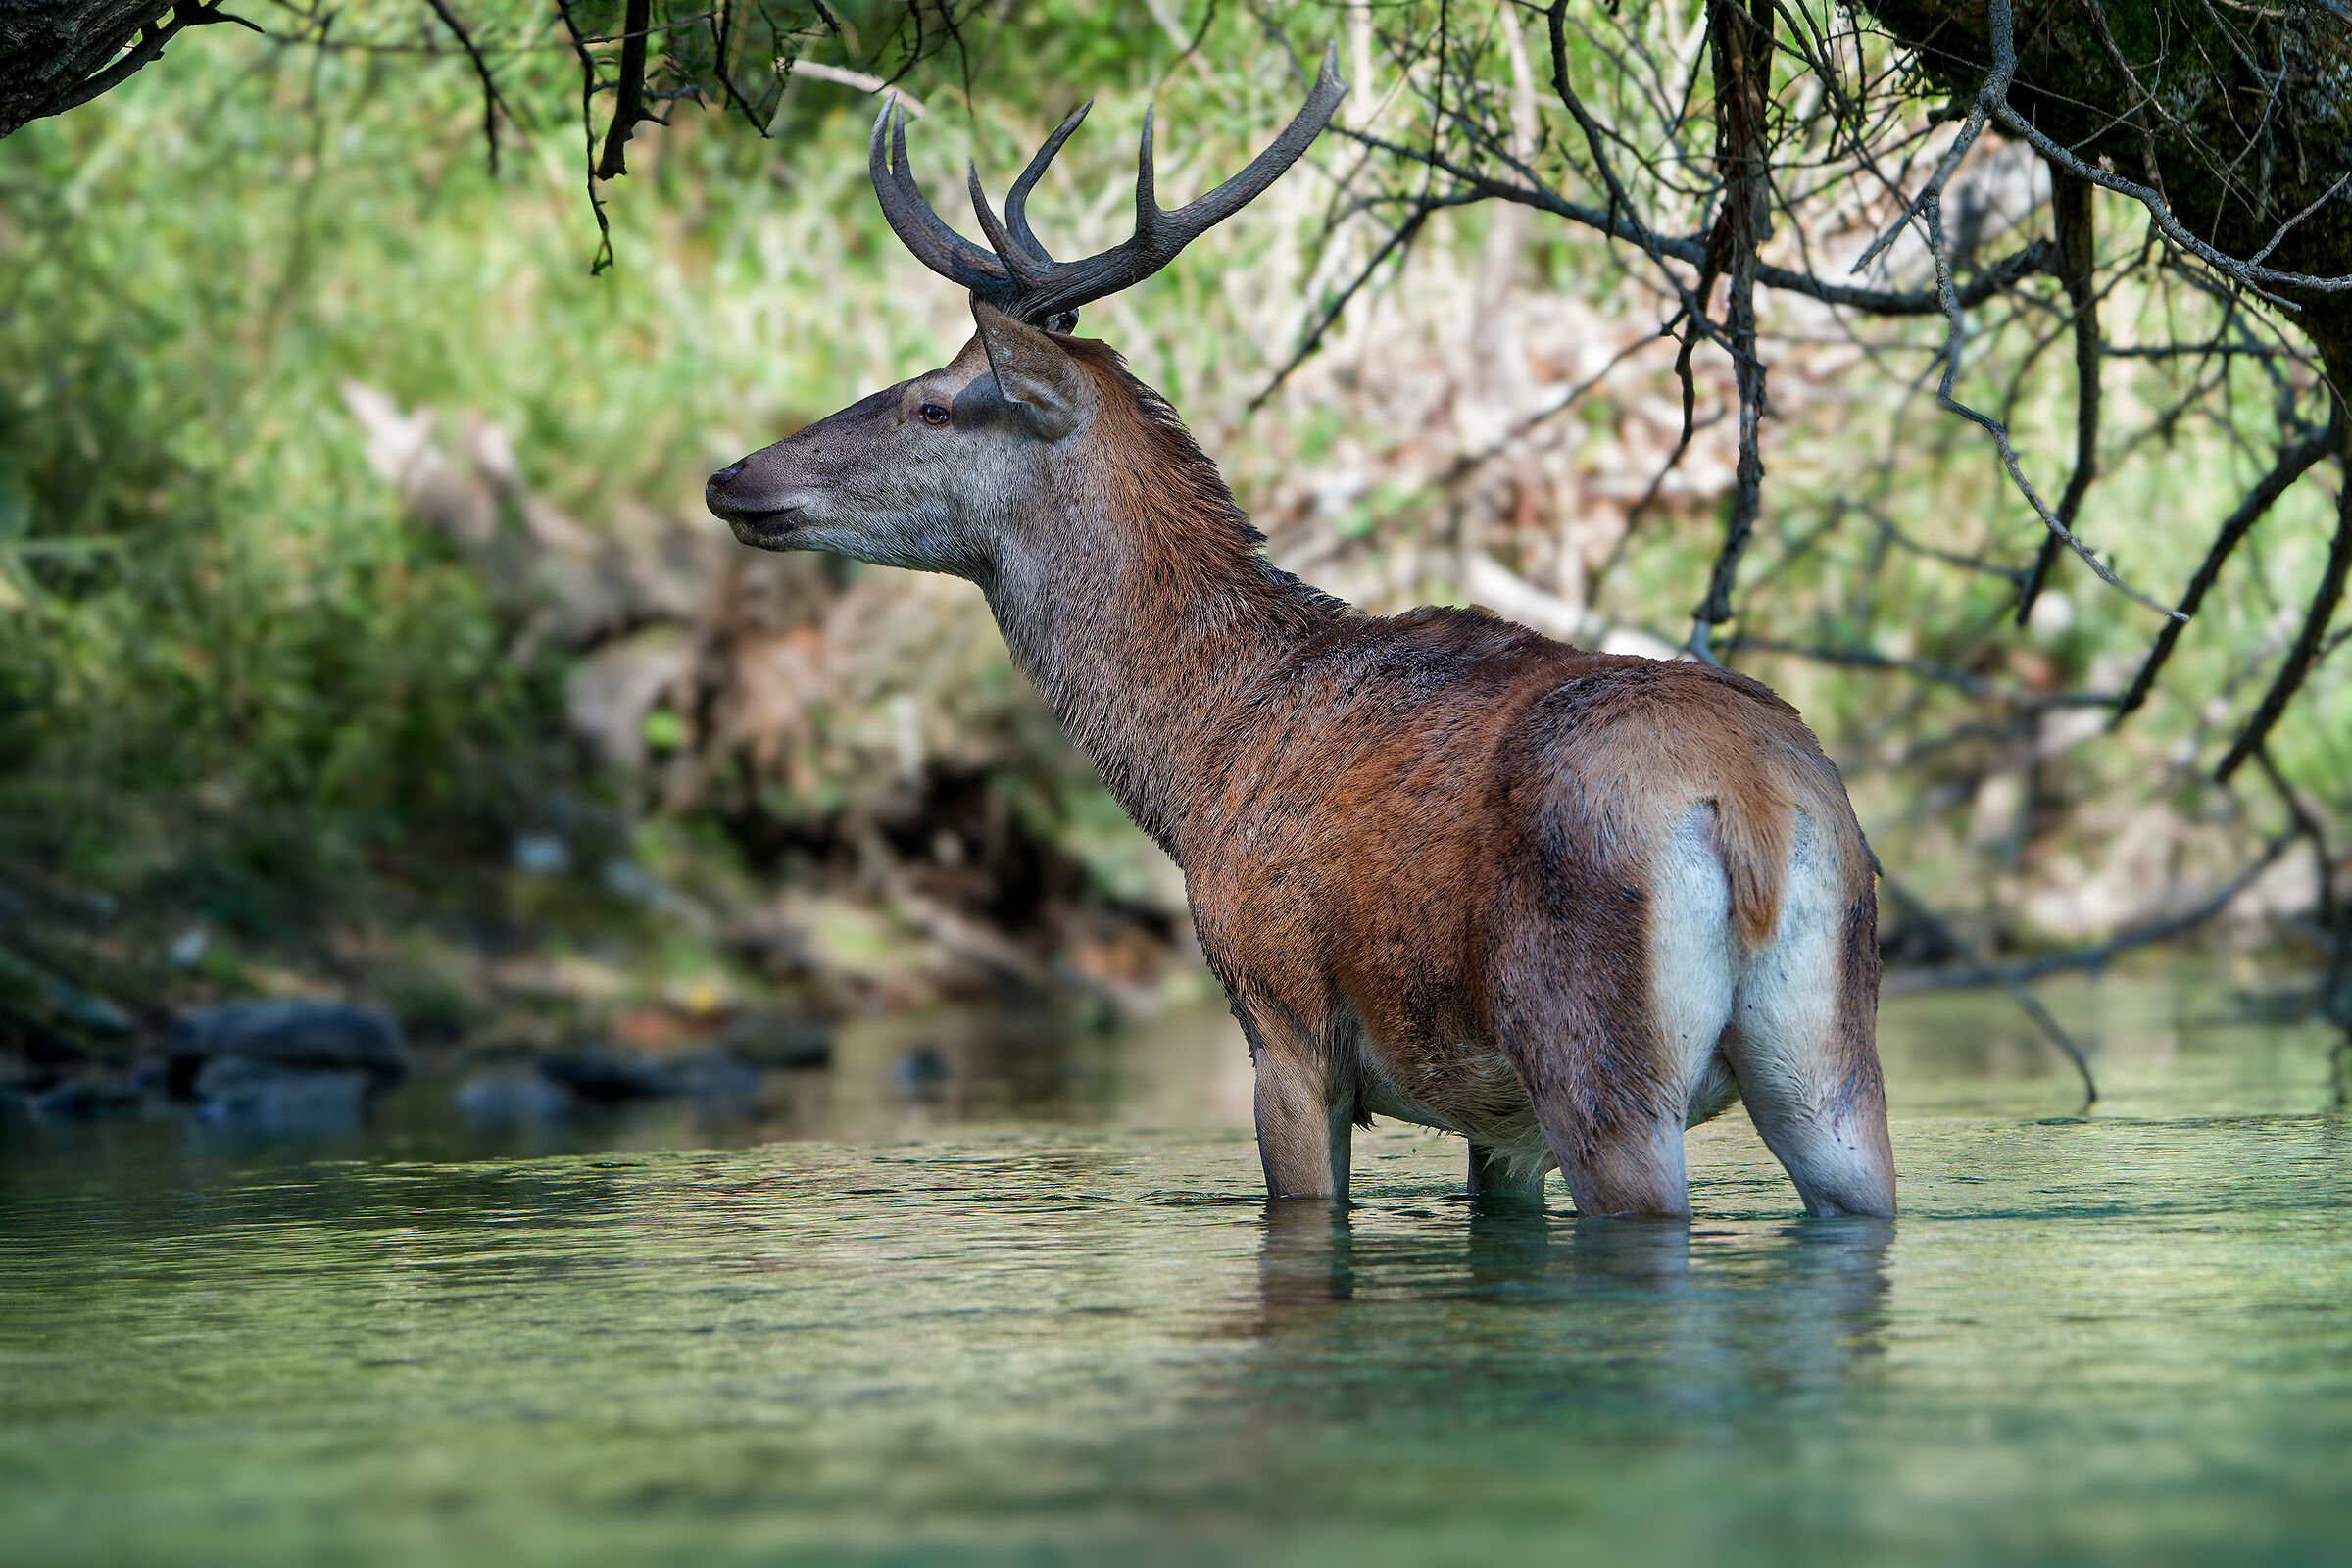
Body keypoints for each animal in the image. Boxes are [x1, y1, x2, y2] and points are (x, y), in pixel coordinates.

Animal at [705, 48, 1896, 1220]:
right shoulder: (1497, 1123)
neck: (1197, 763)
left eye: (935, 404)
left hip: (1594, 1054)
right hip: (1830, 1059)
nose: (731, 477)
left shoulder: (1281, 1017)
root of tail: (1748, 804)